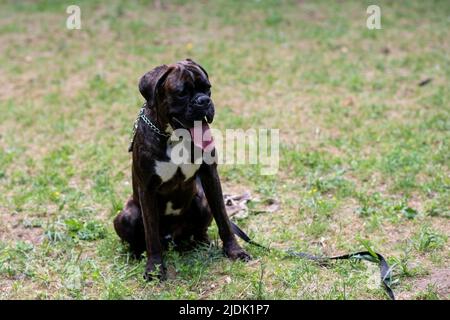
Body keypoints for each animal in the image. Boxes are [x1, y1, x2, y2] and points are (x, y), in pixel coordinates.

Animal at [113, 58, 250, 278]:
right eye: (182, 93)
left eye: (208, 88)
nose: (203, 101)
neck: (175, 137)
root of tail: (172, 238)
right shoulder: (147, 189)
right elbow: (151, 235)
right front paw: (154, 268)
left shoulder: (210, 176)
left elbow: (223, 219)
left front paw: (234, 251)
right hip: (127, 215)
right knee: (140, 239)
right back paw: (136, 254)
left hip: (202, 202)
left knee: (201, 229)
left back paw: (203, 243)